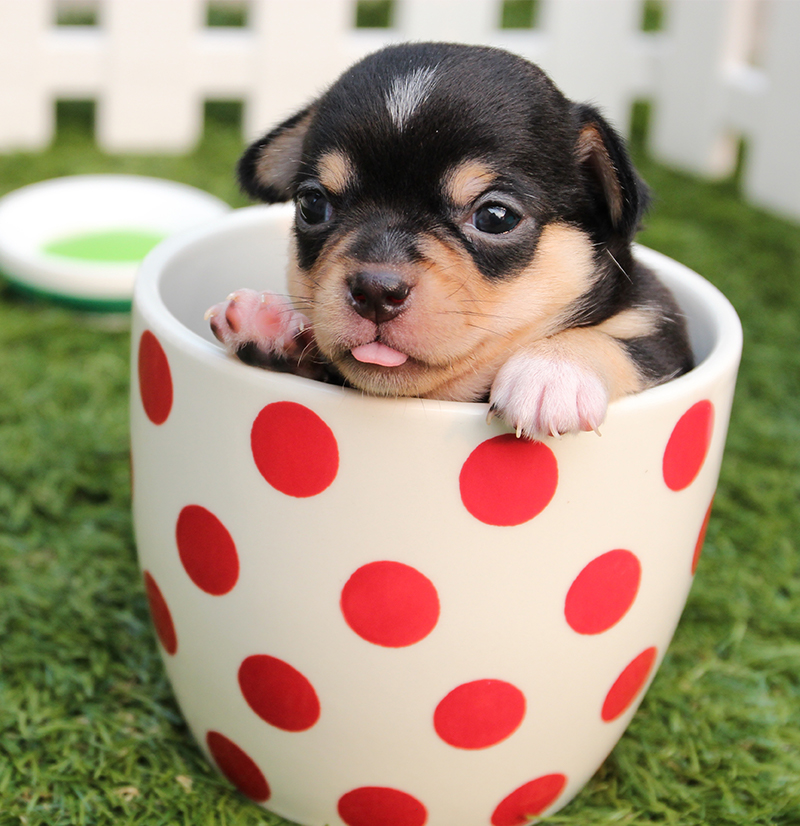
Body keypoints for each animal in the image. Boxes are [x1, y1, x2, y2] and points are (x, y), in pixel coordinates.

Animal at [208, 40, 692, 438]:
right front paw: (270, 322)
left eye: (495, 217)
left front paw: (552, 371)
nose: (375, 290)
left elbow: (624, 340)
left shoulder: (663, 331)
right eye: (312, 204)